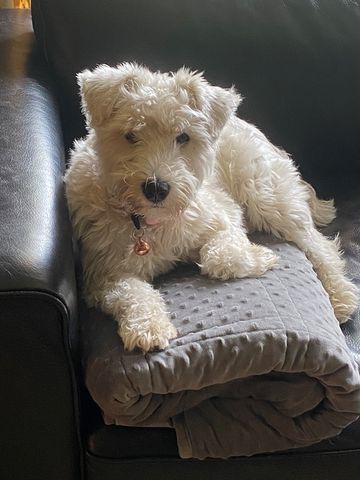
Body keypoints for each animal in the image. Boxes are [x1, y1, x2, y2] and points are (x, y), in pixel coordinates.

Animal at [64, 62, 358, 350]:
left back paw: (341, 296)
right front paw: (148, 328)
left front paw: (261, 256)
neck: (151, 222)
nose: (156, 189)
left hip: (267, 196)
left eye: (183, 137)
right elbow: (132, 294)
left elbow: (219, 257)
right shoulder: (104, 273)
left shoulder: (225, 217)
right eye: (130, 135)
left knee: (319, 245)